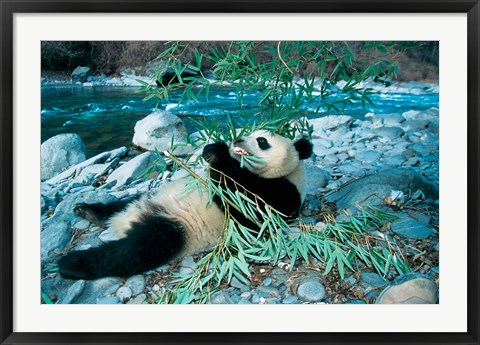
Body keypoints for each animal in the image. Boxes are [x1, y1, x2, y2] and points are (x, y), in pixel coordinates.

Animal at [58, 130, 314, 280]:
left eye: (262, 141)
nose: (237, 140)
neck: (290, 172)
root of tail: (126, 222)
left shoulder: (281, 196)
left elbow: (243, 199)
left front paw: (218, 153)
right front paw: (211, 150)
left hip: (176, 229)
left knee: (134, 252)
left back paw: (72, 263)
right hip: (147, 198)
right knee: (120, 205)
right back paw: (89, 211)